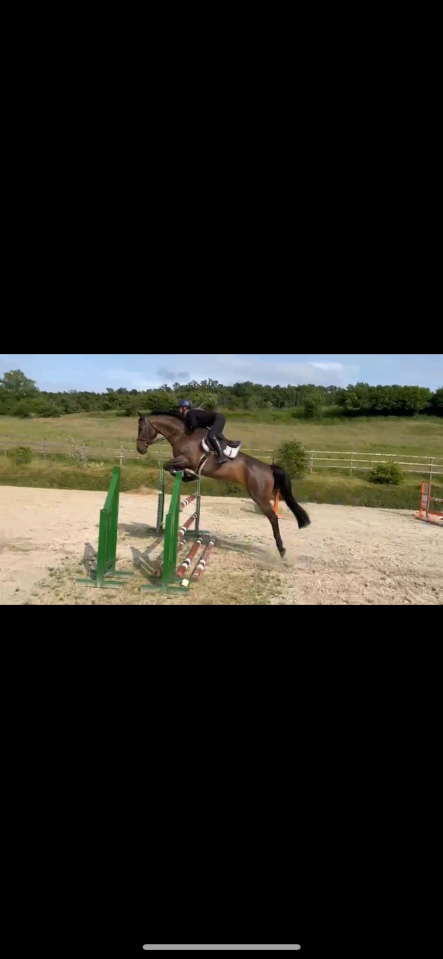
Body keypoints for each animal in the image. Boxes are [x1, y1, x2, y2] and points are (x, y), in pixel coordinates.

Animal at [137, 412, 311, 558]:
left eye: (141, 428)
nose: (140, 449)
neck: (181, 435)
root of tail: (269, 467)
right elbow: (169, 467)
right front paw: (188, 476)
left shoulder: (186, 459)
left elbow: (167, 465)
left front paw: (188, 475)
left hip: (259, 496)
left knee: (273, 518)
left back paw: (281, 549)